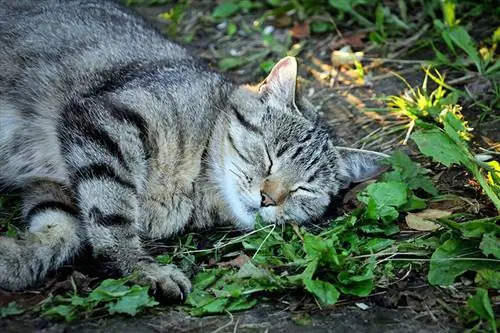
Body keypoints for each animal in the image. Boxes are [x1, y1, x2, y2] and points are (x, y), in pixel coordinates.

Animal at [0, 0, 386, 298]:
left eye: (303, 189)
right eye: (269, 155)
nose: (268, 198)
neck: (194, 185)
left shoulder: (56, 187)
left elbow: (59, 233)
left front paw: (12, 260)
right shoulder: (106, 121)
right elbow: (112, 215)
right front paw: (142, 268)